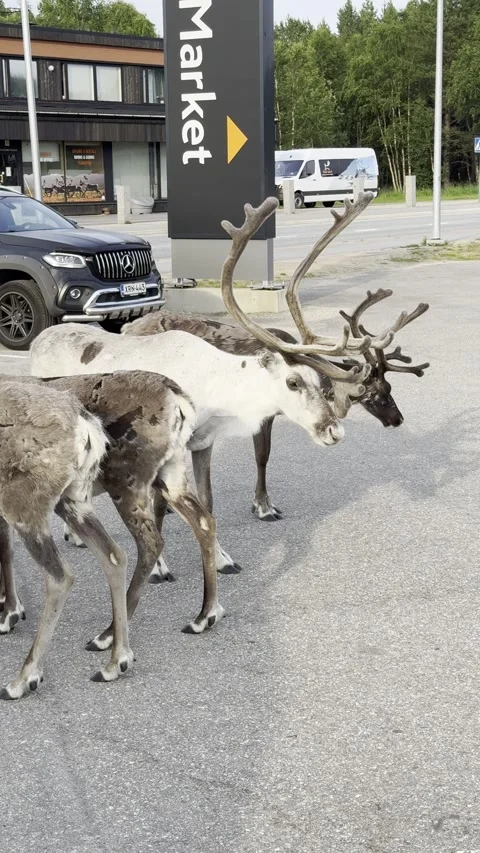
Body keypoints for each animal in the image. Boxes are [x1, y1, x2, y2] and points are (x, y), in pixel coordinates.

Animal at [30, 194, 402, 580]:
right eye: (293, 381)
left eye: (321, 383)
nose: (333, 430)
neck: (212, 388)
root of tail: (40, 338)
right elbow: (158, 506)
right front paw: (159, 567)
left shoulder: (203, 442)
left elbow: (207, 503)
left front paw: (223, 558)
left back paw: (74, 534)